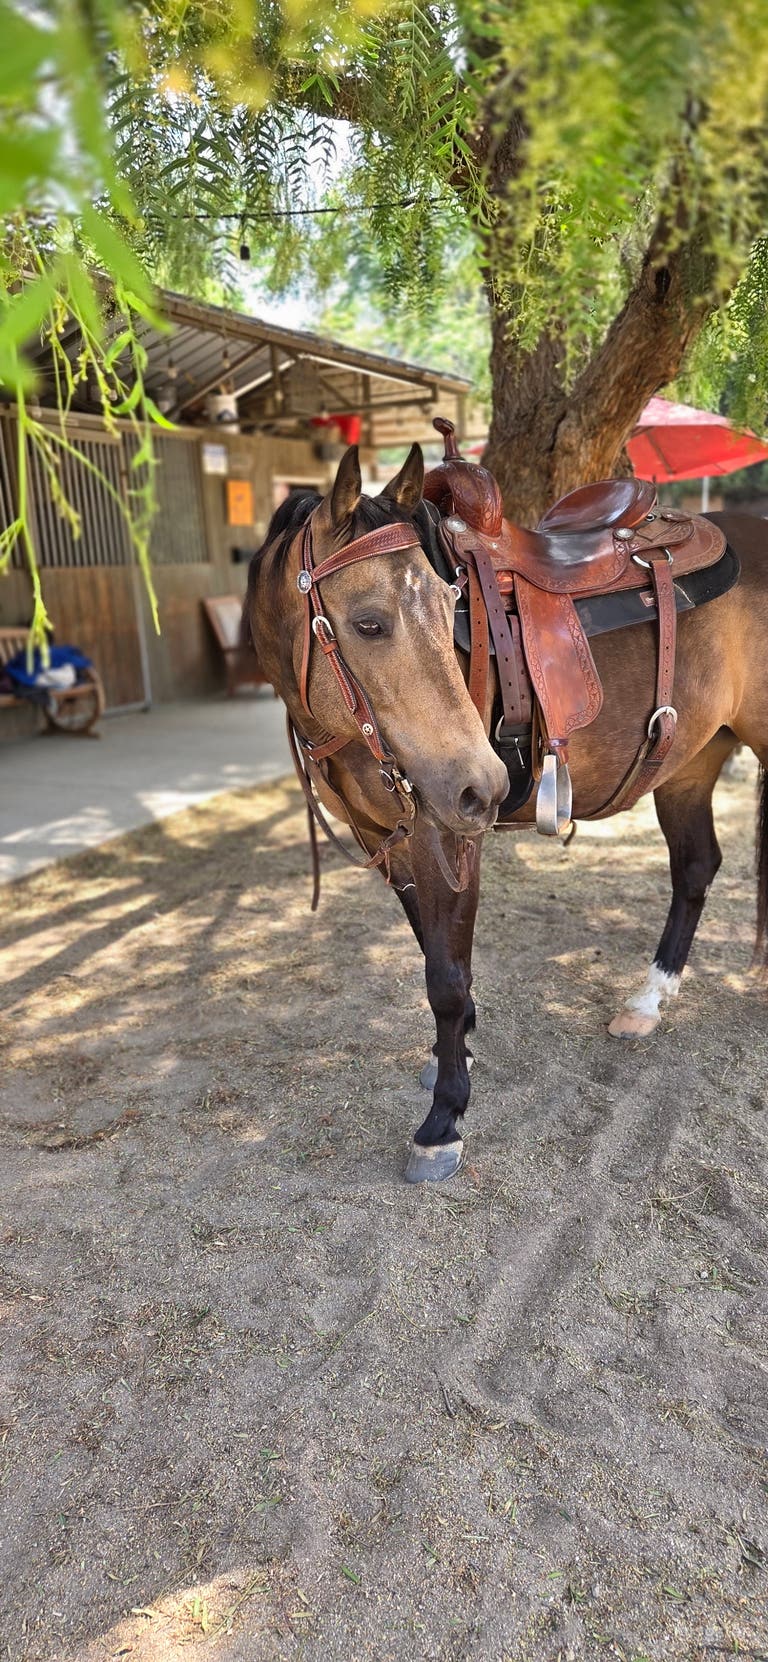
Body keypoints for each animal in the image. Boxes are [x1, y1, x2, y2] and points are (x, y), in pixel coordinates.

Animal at [244, 442, 768, 1183]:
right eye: (368, 623)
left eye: (449, 606)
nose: (485, 787)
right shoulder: (389, 838)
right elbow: (432, 950)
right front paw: (455, 1052)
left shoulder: (447, 833)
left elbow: (446, 977)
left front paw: (444, 1117)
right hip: (691, 761)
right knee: (696, 868)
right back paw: (647, 1001)